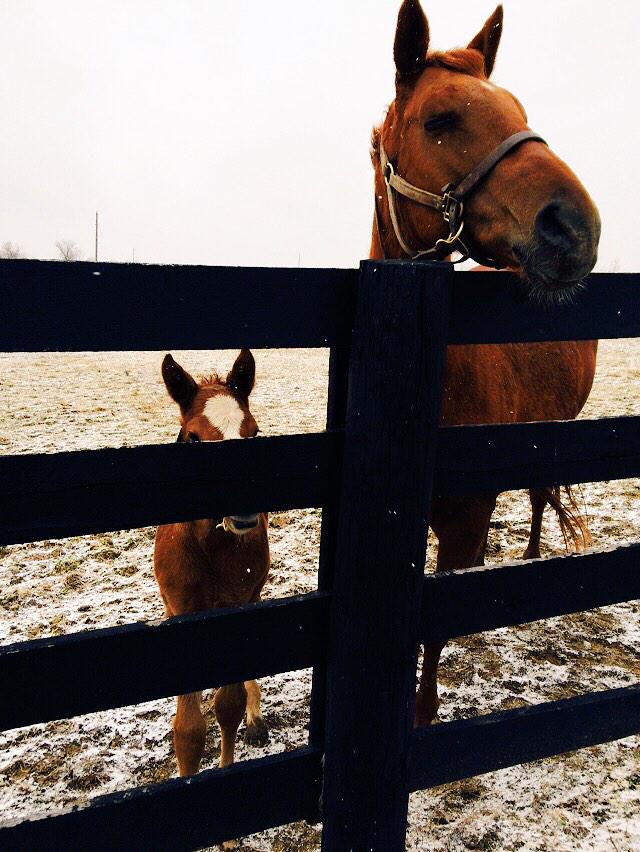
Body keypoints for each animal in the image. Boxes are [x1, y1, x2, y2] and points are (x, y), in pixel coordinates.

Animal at [153, 349, 270, 776]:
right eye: (193, 438)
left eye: (254, 433)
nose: (245, 510)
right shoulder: (184, 613)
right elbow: (188, 731)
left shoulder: (237, 606)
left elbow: (228, 707)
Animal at [371, 1, 601, 726]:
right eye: (440, 119)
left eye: (519, 108)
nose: (575, 229)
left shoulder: (464, 515)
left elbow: (434, 627)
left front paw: (420, 716)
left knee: (537, 495)